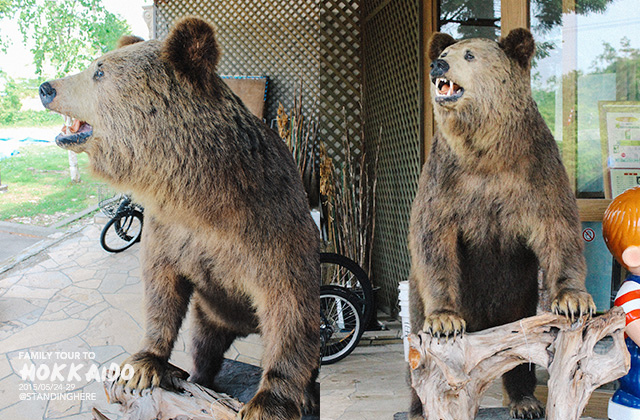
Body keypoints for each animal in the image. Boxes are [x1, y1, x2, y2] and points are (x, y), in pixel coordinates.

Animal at [39, 17, 318, 420]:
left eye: (99, 70)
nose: (46, 87)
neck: (200, 193)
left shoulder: (269, 223)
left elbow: (289, 303)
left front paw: (269, 402)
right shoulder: (171, 231)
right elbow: (161, 288)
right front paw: (142, 366)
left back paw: (306, 391)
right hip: (211, 313)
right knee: (204, 345)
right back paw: (201, 376)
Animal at [408, 27, 596, 418]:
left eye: (468, 55)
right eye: (445, 51)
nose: (437, 64)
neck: (487, 151)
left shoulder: (536, 171)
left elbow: (558, 229)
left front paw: (573, 300)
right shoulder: (445, 182)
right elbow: (433, 238)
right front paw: (445, 320)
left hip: (518, 302)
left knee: (521, 355)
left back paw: (525, 400)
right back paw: (417, 407)